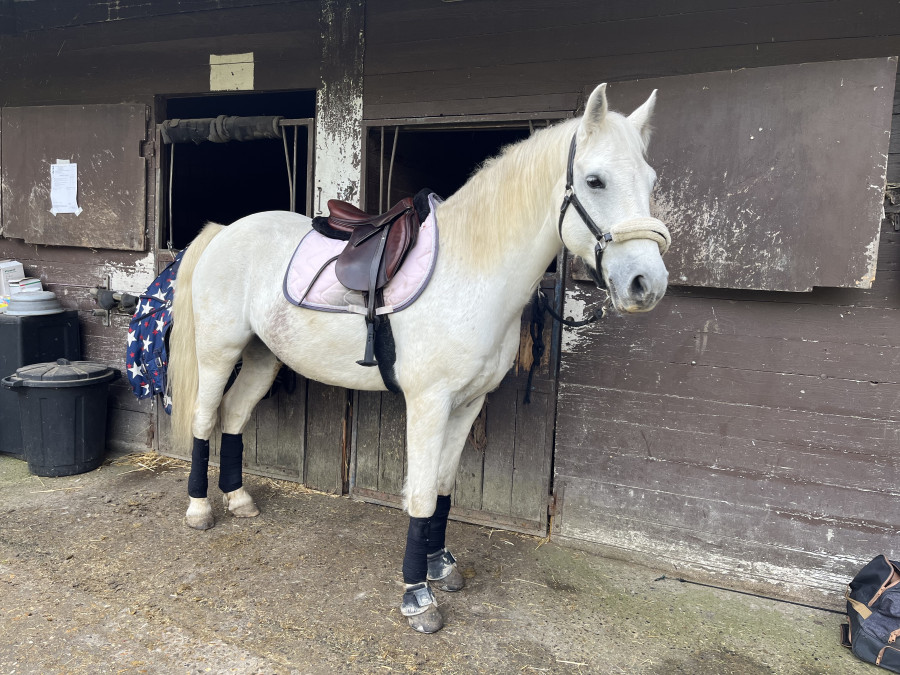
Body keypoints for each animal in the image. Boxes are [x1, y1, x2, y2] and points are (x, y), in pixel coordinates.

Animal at [169, 84, 672, 632]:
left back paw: (238, 499)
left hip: (263, 357)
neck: (470, 270)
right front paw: (417, 595)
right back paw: (199, 509)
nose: (646, 284)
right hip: (219, 353)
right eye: (595, 180)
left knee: (234, 416)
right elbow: (422, 492)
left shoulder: (469, 403)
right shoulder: (429, 403)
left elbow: (445, 487)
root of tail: (225, 230)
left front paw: (439, 566)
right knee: (204, 419)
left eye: (650, 180)